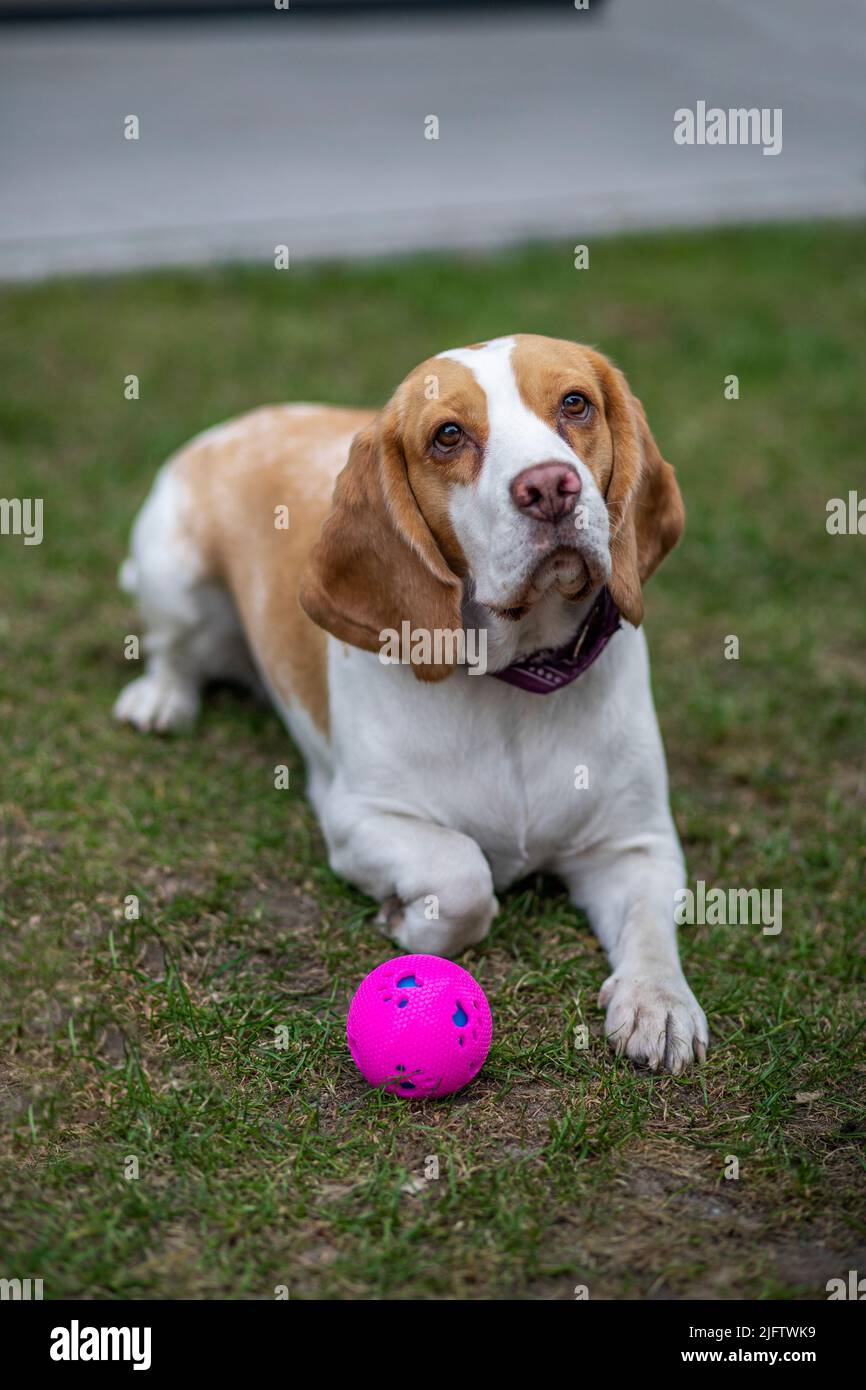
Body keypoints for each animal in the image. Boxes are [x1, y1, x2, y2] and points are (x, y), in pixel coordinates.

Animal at [113, 330, 711, 1067]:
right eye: (448, 436)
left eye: (576, 403)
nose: (549, 486)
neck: (518, 681)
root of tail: (244, 421)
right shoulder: (359, 818)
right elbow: (462, 875)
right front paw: (410, 921)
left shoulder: (638, 844)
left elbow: (651, 929)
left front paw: (658, 1003)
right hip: (172, 576)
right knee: (172, 651)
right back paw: (162, 698)